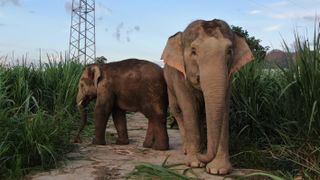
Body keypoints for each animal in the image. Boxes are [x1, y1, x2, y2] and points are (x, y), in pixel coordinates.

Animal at [161, 19, 254, 174]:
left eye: (229, 51)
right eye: (193, 51)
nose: (201, 154)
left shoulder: (228, 77)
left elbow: (223, 108)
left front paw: (218, 170)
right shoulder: (179, 76)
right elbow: (189, 108)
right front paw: (195, 163)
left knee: (200, 114)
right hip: (169, 84)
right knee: (177, 111)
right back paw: (187, 149)